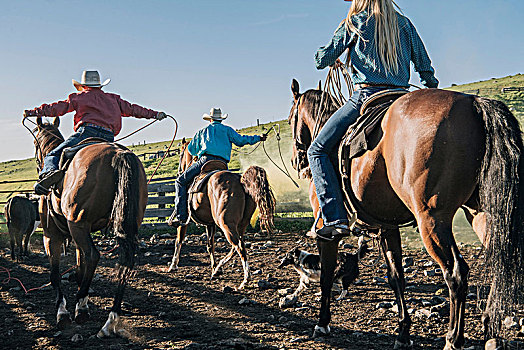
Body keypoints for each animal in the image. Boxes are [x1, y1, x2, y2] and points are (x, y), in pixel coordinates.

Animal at [32, 116, 147, 338]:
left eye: (35, 142)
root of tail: (120, 154)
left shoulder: (51, 235)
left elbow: (55, 274)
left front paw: (64, 312)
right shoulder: (76, 236)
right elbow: (79, 268)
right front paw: (82, 306)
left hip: (77, 224)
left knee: (94, 255)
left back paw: (86, 308)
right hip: (119, 227)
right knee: (125, 263)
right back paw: (110, 321)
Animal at [168, 137, 276, 290]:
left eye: (181, 153)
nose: (179, 172)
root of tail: (241, 180)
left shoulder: (184, 221)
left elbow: (179, 240)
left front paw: (173, 265)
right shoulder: (210, 224)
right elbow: (210, 245)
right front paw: (214, 268)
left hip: (226, 224)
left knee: (239, 246)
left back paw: (245, 280)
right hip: (240, 225)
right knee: (236, 246)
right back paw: (219, 268)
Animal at [286, 80, 524, 350]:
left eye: (291, 117)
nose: (297, 161)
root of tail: (473, 103)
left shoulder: (326, 233)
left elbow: (326, 274)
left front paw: (323, 323)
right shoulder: (387, 228)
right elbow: (396, 277)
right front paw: (403, 332)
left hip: (432, 219)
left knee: (456, 274)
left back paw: (453, 339)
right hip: (482, 214)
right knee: (500, 262)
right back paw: (490, 328)